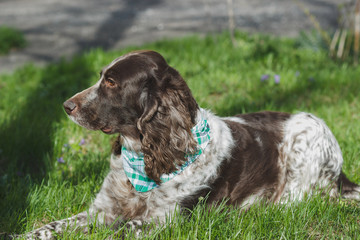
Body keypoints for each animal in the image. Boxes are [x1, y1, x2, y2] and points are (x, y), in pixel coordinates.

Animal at [21, 50, 358, 238]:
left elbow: (118, 232)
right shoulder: (102, 210)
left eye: (112, 82)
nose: (66, 106)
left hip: (301, 156)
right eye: (101, 76)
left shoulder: (167, 222)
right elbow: (50, 227)